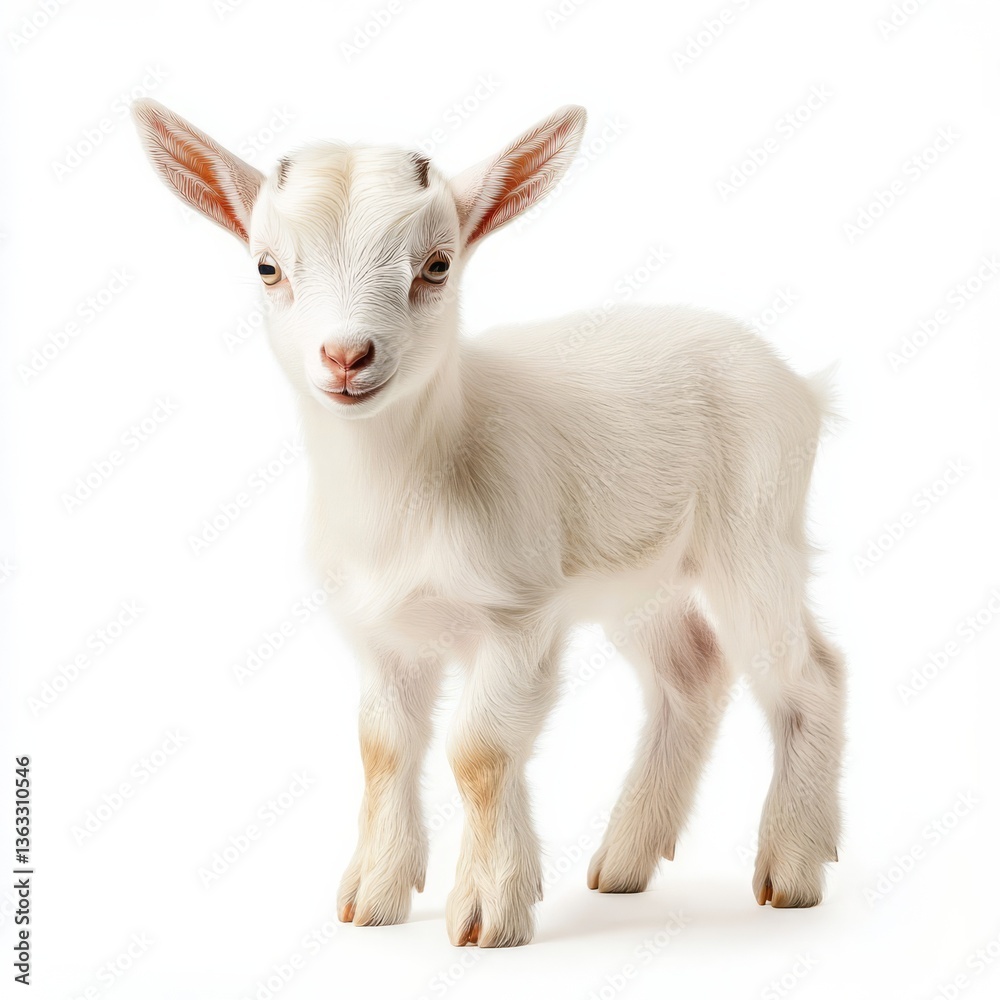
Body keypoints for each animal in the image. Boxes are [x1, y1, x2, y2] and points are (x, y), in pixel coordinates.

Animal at [132, 99, 844, 948]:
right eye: (268, 268)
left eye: (437, 265)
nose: (346, 356)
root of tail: (797, 384)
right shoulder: (381, 632)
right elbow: (382, 745)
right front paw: (374, 895)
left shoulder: (518, 613)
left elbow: (479, 750)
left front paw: (488, 909)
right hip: (641, 578)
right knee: (693, 674)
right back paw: (625, 861)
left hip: (755, 531)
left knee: (808, 673)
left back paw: (792, 867)